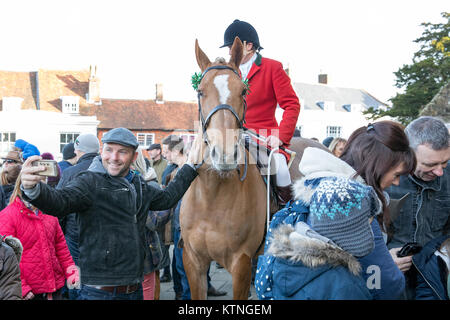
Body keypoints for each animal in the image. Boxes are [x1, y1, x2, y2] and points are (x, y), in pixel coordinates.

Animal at [180, 37, 330, 300]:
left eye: (243, 91)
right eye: (200, 91)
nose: (225, 154)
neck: (211, 195)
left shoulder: (241, 262)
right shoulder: (192, 260)